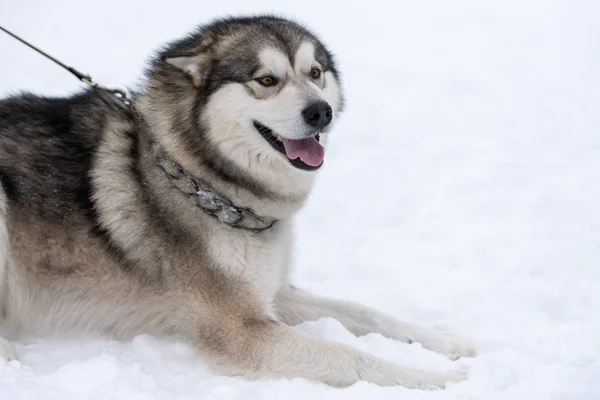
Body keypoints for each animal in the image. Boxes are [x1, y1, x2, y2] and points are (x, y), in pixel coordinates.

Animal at [1, 14, 474, 388]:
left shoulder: (273, 292)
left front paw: (450, 343)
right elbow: (352, 358)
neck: (198, 176)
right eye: (266, 80)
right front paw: (436, 381)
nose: (320, 111)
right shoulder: (241, 331)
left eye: (315, 72)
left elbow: (368, 313)